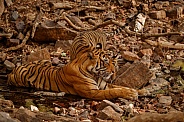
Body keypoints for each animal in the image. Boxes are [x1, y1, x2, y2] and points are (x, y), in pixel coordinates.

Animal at [7, 49, 138, 100]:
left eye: (113, 62)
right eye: (106, 62)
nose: (113, 72)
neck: (95, 74)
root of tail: (15, 68)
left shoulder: (104, 85)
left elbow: (119, 87)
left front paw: (137, 91)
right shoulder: (93, 92)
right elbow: (114, 91)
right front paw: (131, 93)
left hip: (46, 61)